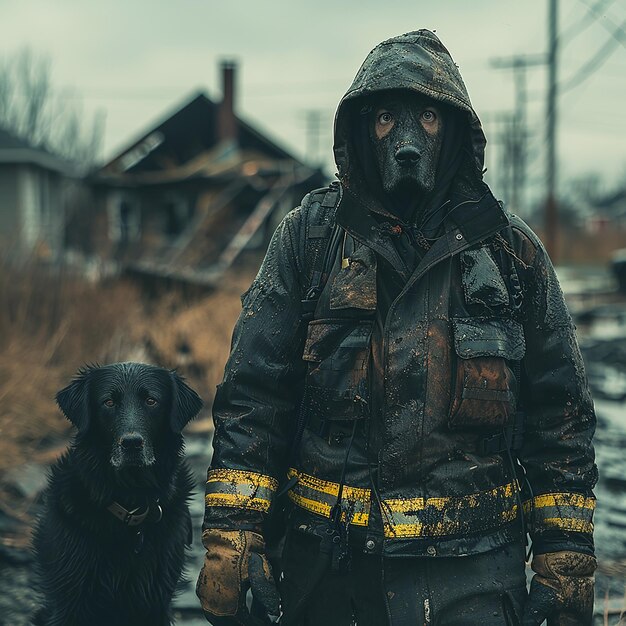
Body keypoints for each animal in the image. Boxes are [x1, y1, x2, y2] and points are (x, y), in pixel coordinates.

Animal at [31, 360, 202, 624]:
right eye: (108, 402)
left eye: (151, 401)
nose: (131, 444)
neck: (130, 501)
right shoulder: (70, 598)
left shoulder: (154, 599)